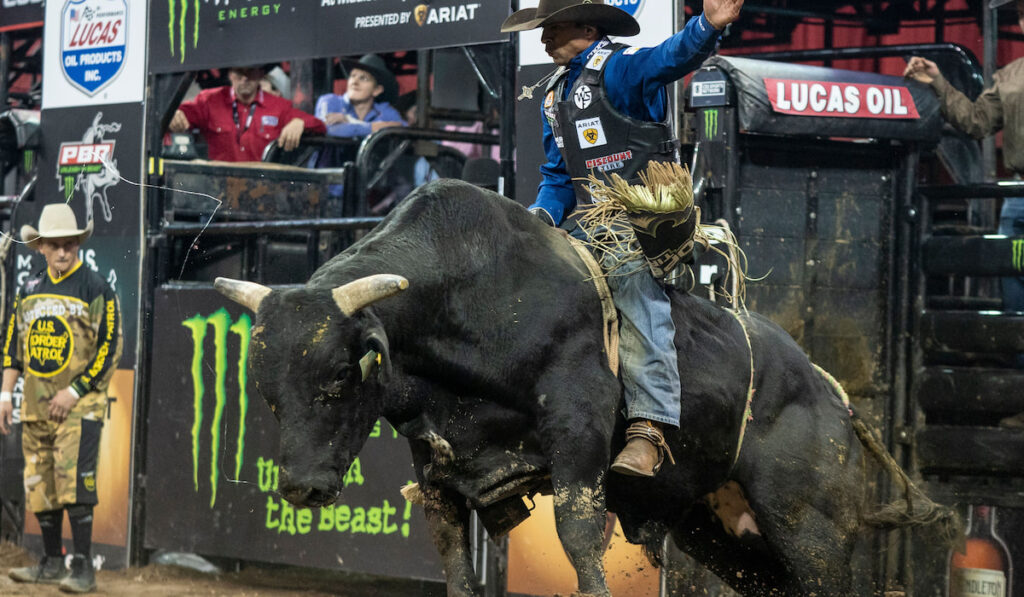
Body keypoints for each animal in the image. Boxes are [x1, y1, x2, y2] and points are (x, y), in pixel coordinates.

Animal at [214, 180, 950, 597]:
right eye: (264, 387)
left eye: (342, 374)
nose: (301, 487)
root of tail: (830, 392)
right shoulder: (437, 469)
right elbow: (454, 559)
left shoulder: (579, 434)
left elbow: (578, 540)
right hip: (718, 527)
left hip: (807, 521)